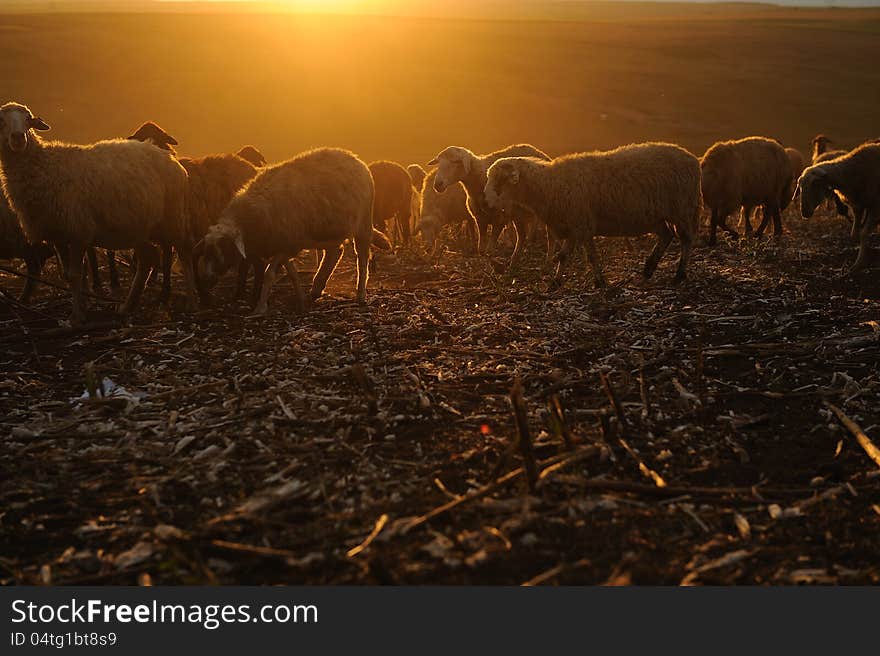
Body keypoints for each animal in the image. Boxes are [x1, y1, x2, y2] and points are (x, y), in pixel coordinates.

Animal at [0, 101, 192, 324]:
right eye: (1, 120)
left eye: (28, 119)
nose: (18, 138)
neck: (44, 164)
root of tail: (169, 157)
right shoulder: (57, 233)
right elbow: (69, 275)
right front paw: (83, 308)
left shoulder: (78, 230)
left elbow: (76, 274)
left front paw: (76, 317)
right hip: (137, 226)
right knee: (148, 258)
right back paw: (127, 306)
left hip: (172, 218)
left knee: (183, 253)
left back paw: (193, 301)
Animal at [201, 147, 394, 316]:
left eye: (224, 248)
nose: (207, 279)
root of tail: (355, 158)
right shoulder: (285, 244)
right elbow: (291, 273)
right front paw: (300, 299)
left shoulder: (288, 244)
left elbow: (269, 274)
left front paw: (260, 308)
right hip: (328, 229)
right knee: (334, 252)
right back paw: (316, 289)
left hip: (363, 223)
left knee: (362, 258)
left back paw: (360, 295)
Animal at [482, 142, 700, 288]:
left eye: (500, 180)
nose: (485, 201)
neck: (550, 185)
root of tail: (691, 158)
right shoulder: (575, 225)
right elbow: (572, 255)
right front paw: (559, 281)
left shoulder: (581, 223)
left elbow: (579, 255)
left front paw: (595, 281)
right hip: (655, 216)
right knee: (666, 235)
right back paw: (648, 269)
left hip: (682, 209)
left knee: (685, 240)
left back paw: (679, 274)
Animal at [796, 144, 880, 272]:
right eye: (800, 187)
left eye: (815, 185)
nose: (804, 212)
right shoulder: (858, 206)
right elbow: (855, 233)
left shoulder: (875, 207)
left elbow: (863, 233)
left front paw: (859, 263)